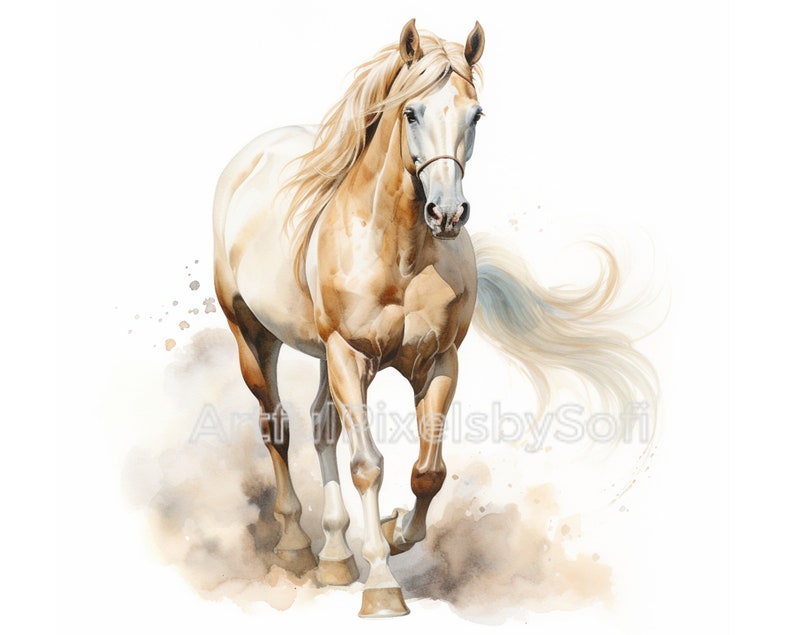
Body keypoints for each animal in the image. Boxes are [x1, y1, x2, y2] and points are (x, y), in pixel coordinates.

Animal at [213, 20, 656, 617]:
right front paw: (382, 586)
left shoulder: (438, 362)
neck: (399, 253)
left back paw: (336, 556)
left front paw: (394, 531)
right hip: (256, 337)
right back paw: (296, 546)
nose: (446, 213)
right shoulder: (350, 356)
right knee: (277, 429)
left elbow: (428, 472)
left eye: (476, 114)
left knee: (322, 427)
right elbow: (368, 465)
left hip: (325, 356)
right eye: (411, 112)